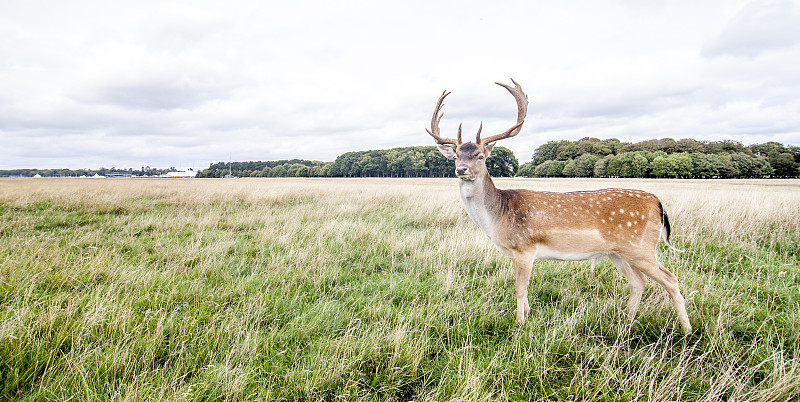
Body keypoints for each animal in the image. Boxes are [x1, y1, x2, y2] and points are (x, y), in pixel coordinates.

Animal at [424, 80, 692, 334]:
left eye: (480, 155)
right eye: (456, 155)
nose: (461, 170)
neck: (499, 216)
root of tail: (658, 204)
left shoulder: (524, 247)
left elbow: (520, 288)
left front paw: (518, 324)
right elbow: (524, 290)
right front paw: (528, 315)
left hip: (641, 247)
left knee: (671, 279)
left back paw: (687, 329)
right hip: (617, 252)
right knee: (639, 282)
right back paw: (625, 321)